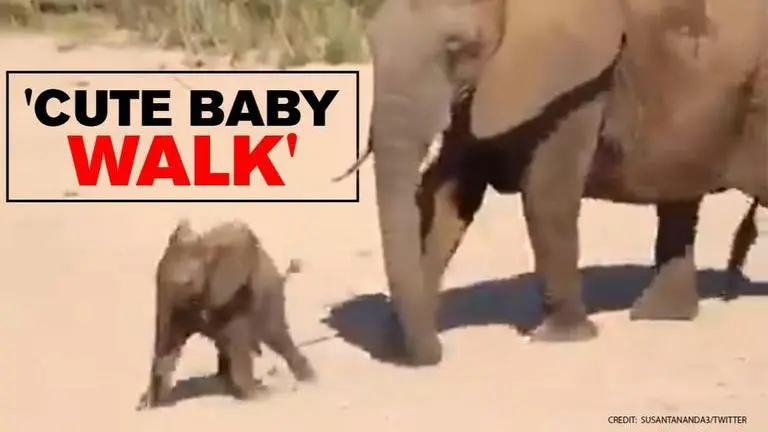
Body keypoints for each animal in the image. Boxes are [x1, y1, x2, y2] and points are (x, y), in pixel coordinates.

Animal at [136, 220, 315, 410]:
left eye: (188, 283)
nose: (143, 405)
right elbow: (173, 341)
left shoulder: (235, 297)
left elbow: (238, 344)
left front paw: (259, 397)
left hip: (271, 296)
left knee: (277, 336)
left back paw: (310, 380)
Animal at [333, 0, 768, 366]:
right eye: (372, 43)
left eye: (459, 47)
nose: (437, 355)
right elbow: (449, 196)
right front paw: (401, 340)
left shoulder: (577, 82)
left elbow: (546, 193)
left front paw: (560, 337)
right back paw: (659, 317)